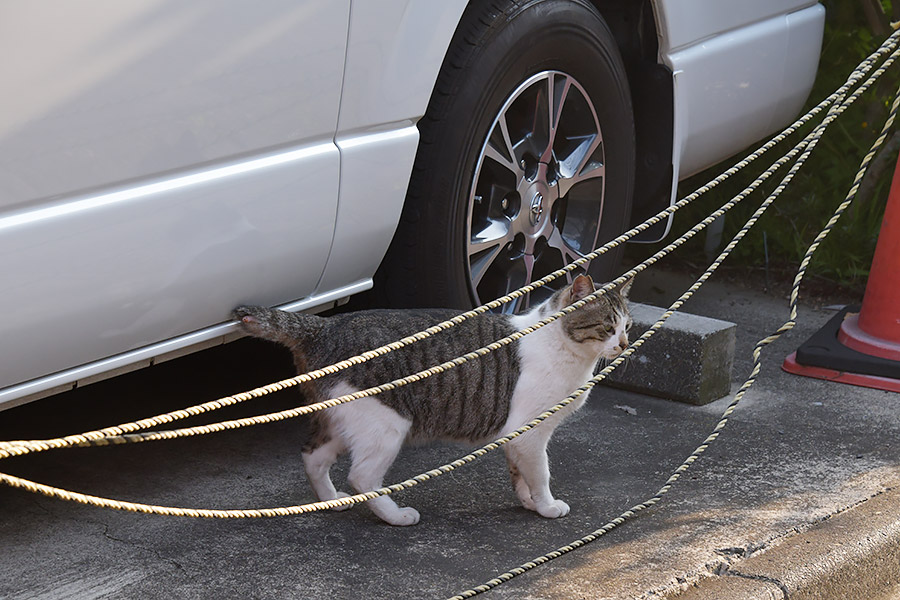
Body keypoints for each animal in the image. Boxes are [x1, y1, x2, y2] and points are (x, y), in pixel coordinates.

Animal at [232, 274, 632, 528]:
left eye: (627, 326)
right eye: (608, 328)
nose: (626, 344)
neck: (563, 348)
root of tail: (325, 326)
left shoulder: (515, 436)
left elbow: (520, 475)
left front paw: (530, 502)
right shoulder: (530, 432)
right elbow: (541, 473)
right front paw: (547, 506)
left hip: (342, 420)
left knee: (313, 457)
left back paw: (332, 500)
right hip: (386, 423)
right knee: (362, 476)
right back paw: (396, 516)